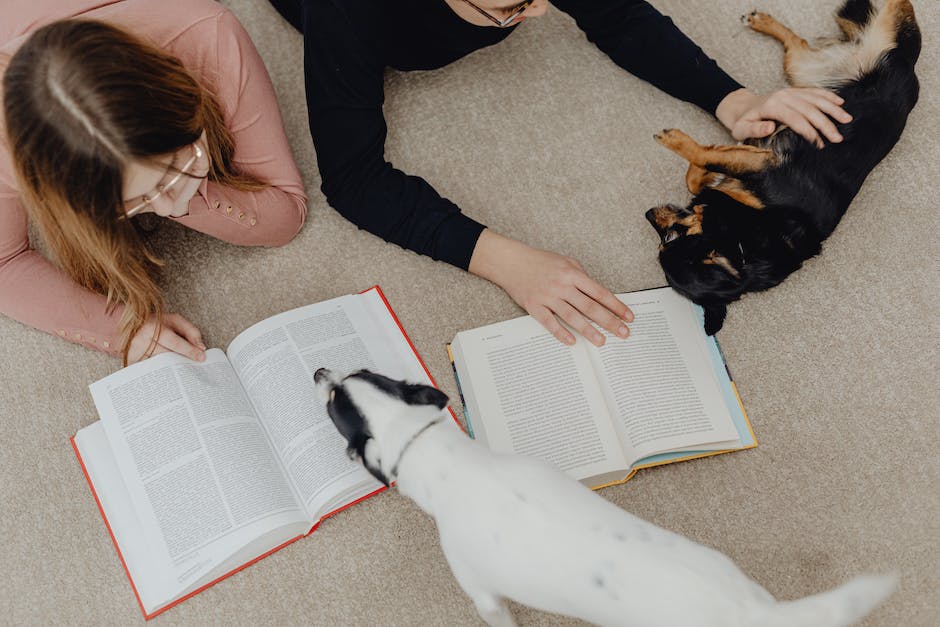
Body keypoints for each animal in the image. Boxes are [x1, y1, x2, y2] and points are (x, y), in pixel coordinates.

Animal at [316, 370, 896, 627]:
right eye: (354, 373)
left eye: (330, 398)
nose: (321, 370)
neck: (442, 456)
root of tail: (746, 613)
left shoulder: (483, 593)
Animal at [648, 0, 916, 336]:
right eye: (661, 244)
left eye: (669, 238)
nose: (647, 214)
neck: (741, 237)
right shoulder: (757, 161)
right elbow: (703, 172)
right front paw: (710, 172)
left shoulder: (763, 165)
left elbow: (706, 160)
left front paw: (680, 144)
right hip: (801, 67)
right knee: (798, 42)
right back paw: (762, 21)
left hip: (874, 44)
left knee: (898, 11)